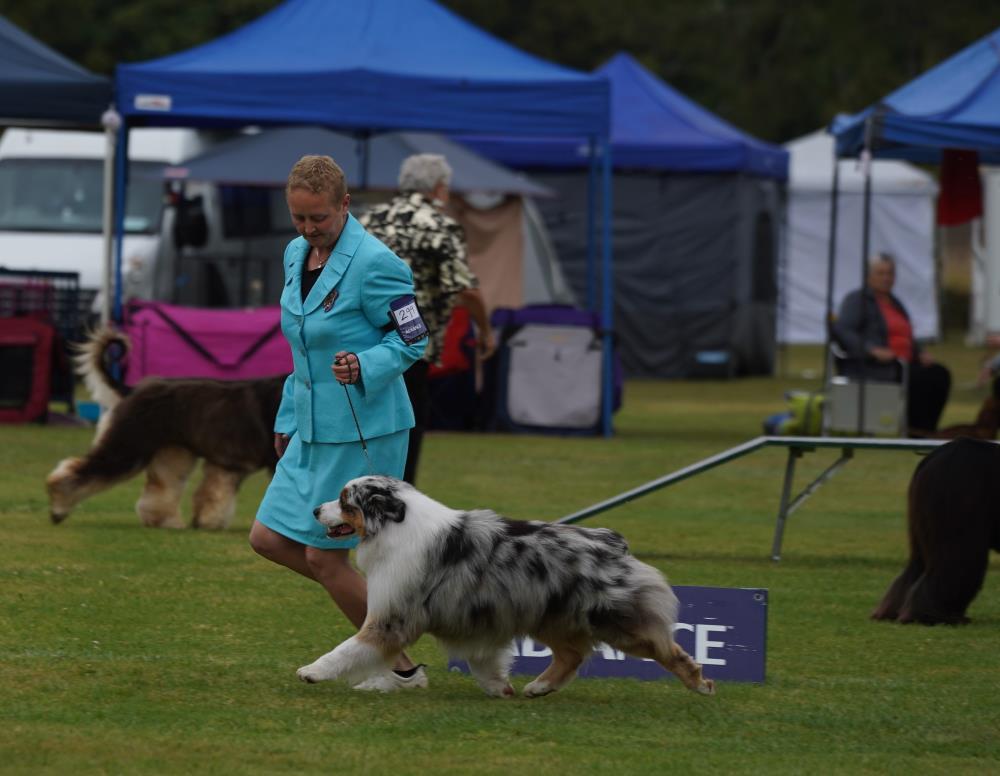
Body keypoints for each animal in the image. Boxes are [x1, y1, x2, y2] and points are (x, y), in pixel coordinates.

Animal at [46, 327, 285, 529]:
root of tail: (131, 390)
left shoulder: (230, 464)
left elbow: (215, 493)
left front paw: (205, 522)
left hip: (171, 452)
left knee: (160, 490)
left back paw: (164, 521)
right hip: (127, 445)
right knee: (79, 471)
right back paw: (58, 507)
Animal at [297, 475, 715, 698]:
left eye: (344, 500)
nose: (315, 510)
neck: (395, 525)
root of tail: (611, 541)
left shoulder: (391, 618)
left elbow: (348, 649)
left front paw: (312, 671)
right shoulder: (475, 617)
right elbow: (482, 659)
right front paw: (500, 687)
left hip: (615, 621)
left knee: (667, 648)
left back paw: (701, 684)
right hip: (550, 615)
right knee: (572, 654)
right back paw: (539, 687)